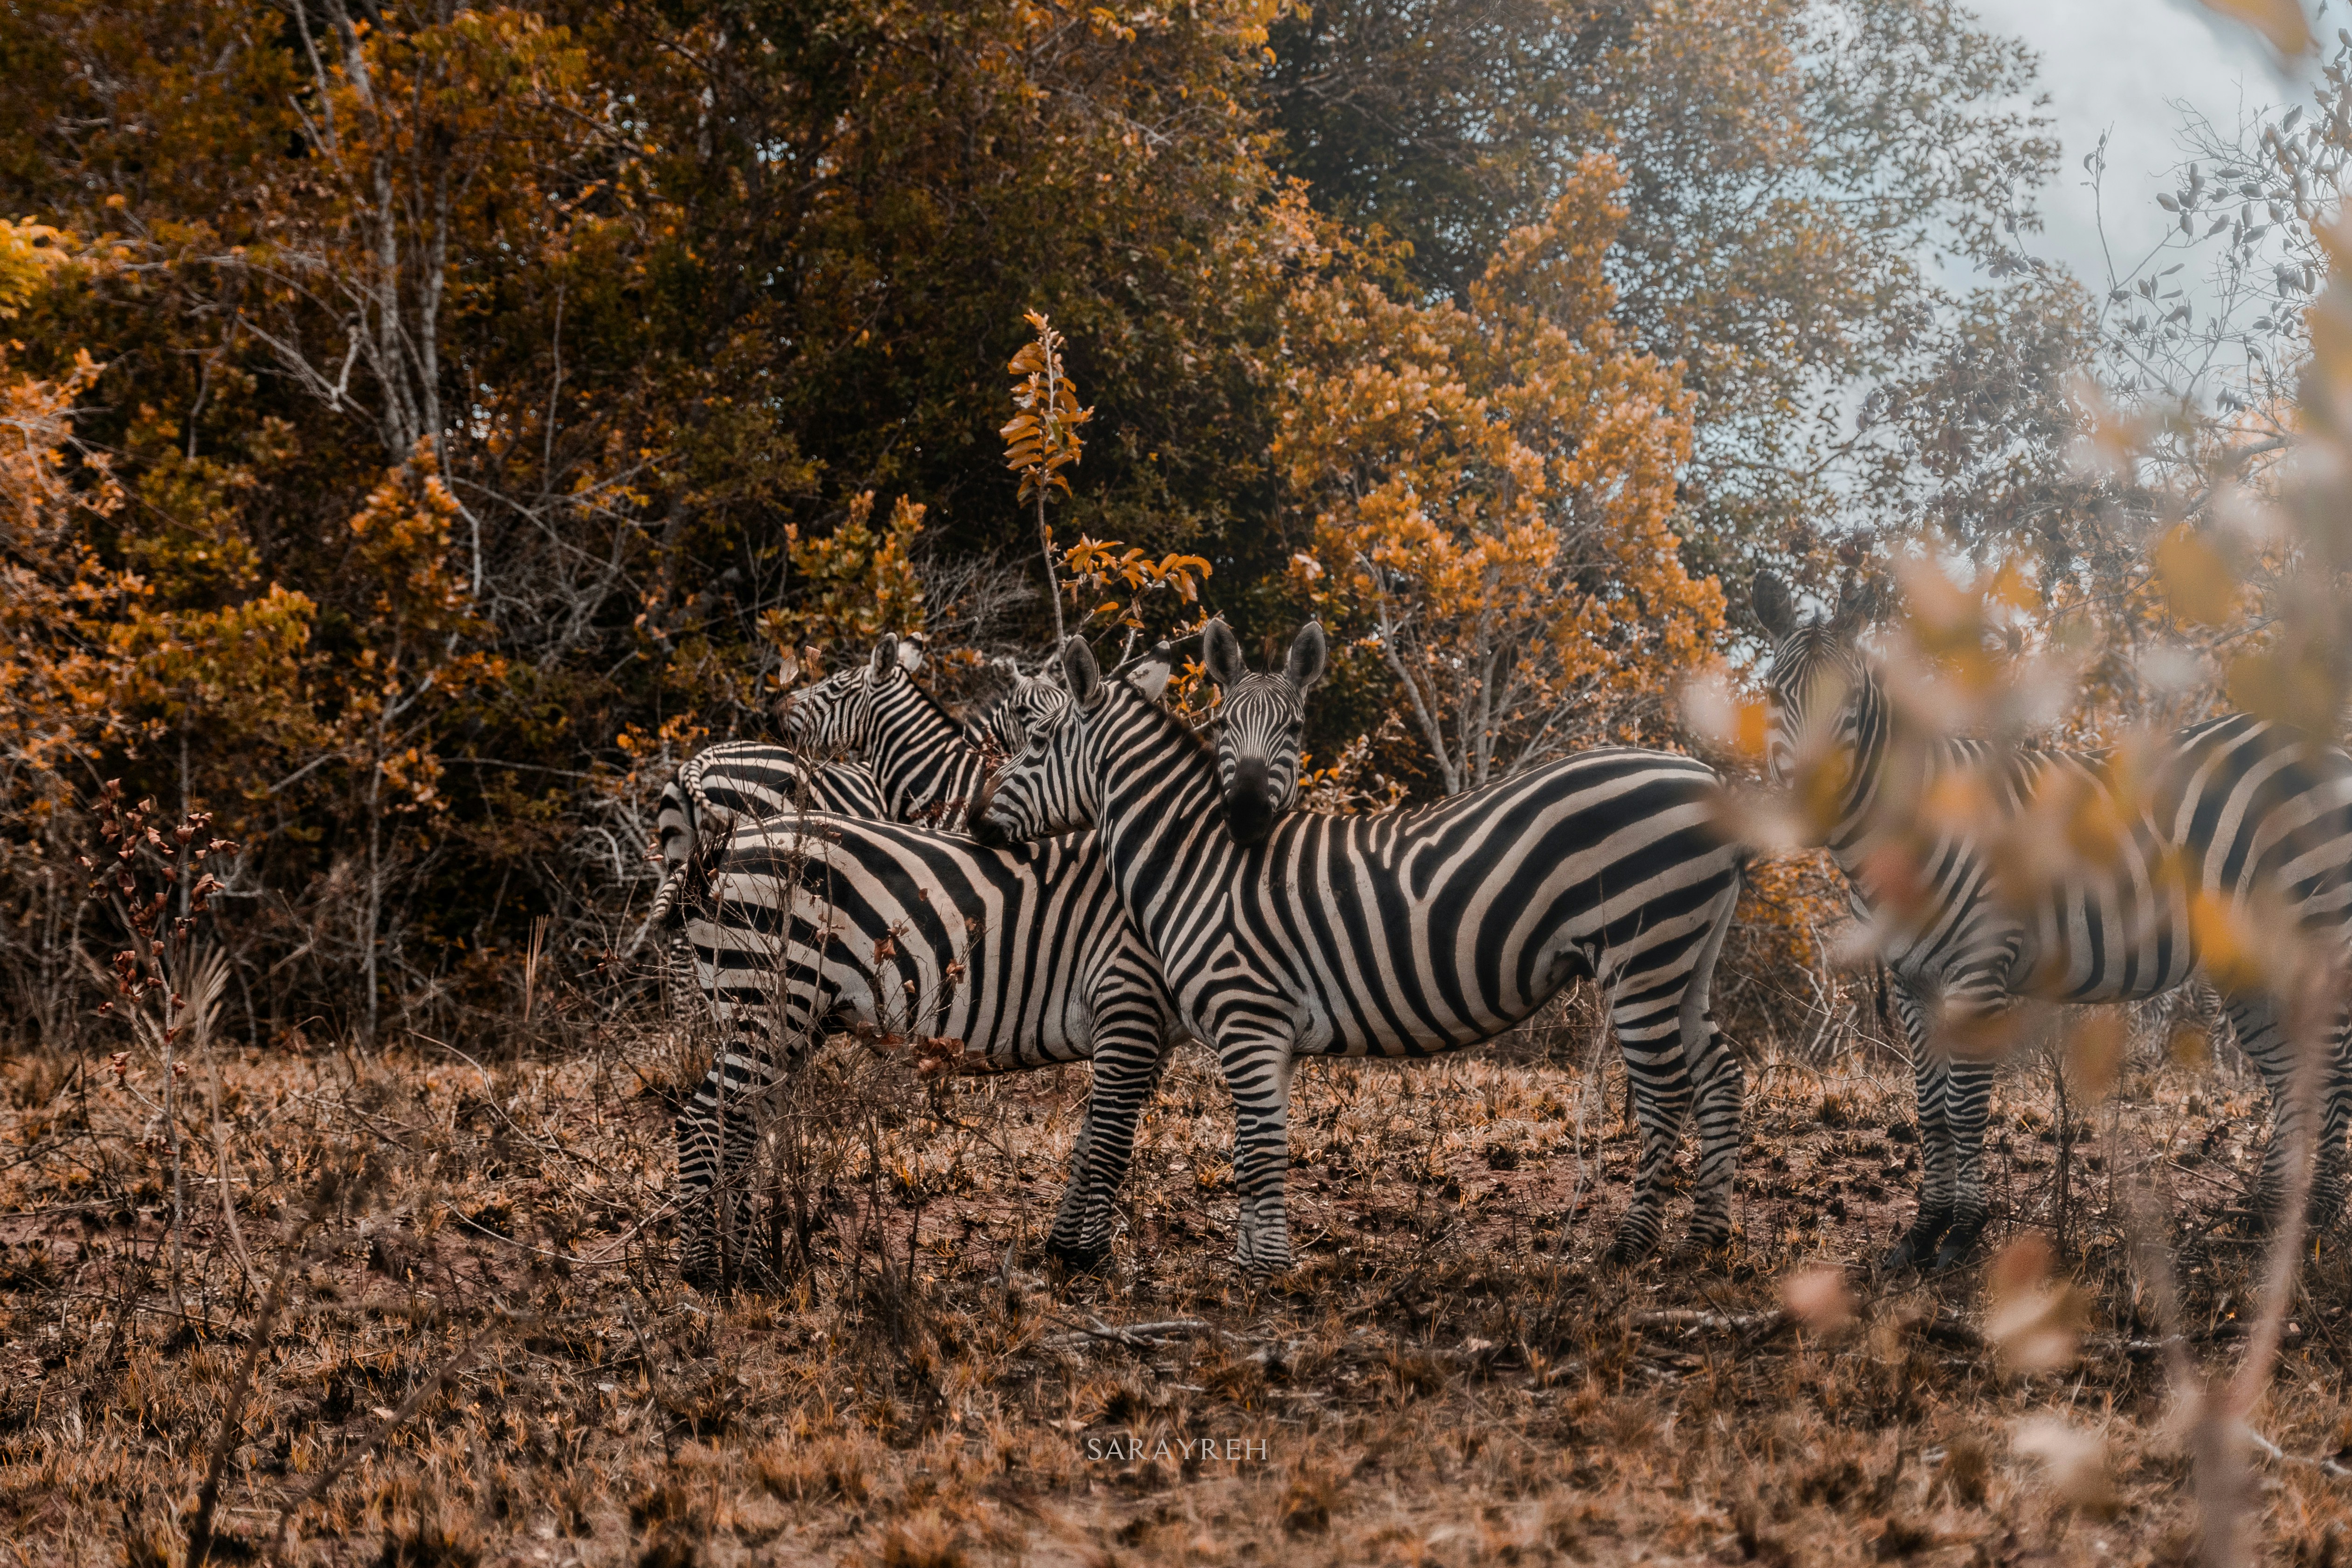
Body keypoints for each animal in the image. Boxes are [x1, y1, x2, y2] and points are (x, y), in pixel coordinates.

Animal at [676, 810, 1183, 1289]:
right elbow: (1110, 1145)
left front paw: (1067, 1250)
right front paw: (1096, 1261)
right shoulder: (1127, 997)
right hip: (764, 995)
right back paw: (701, 1270)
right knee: (704, 1120)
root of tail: (724, 849)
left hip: (794, 1019)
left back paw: (747, 1268)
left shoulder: (1153, 1034)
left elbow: (1090, 1140)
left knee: (740, 1127)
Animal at [971, 619, 1752, 1274]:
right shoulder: (1271, 1033)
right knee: (1720, 1071)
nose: (977, 823)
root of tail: (1707, 776)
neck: (1198, 860)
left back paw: (1632, 1245)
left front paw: (1266, 1274)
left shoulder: (1248, 1015)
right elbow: (1255, 1144)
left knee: (1665, 1090)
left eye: (1035, 745)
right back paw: (1704, 1239)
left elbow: (1258, 1148)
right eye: (1222, 724)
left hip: (1640, 952)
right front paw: (1251, 1262)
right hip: (1686, 957)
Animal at [1753, 572, 2352, 1269]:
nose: (1811, 804)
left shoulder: (1977, 968)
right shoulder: (1910, 981)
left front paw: (1962, 1233)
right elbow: (1928, 1107)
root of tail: (2321, 741)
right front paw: (1921, 1233)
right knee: (2290, 1075)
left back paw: (2316, 1222)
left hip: (2318, 926)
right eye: (1773, 695)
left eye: (1849, 703)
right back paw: (2265, 1217)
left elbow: (1964, 1106)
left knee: (2331, 1069)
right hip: (2250, 957)